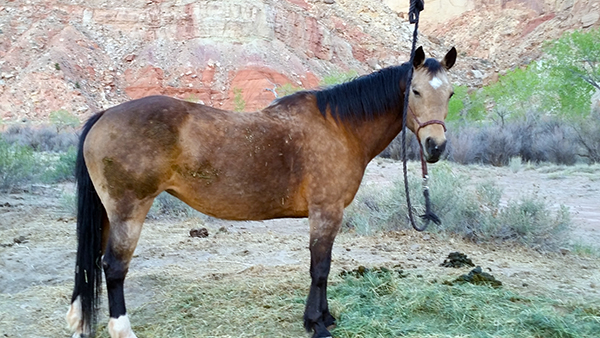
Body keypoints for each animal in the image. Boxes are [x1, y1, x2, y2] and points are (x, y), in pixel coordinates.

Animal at [65, 46, 458, 338]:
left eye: (450, 93)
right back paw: (122, 329)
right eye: (416, 91)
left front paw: (324, 318)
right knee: (113, 266)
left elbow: (322, 266)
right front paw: (317, 325)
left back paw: (80, 322)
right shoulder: (326, 211)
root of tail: (104, 116)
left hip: (108, 213)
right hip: (129, 209)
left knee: (90, 262)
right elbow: (320, 267)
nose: (435, 147)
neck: (339, 128)